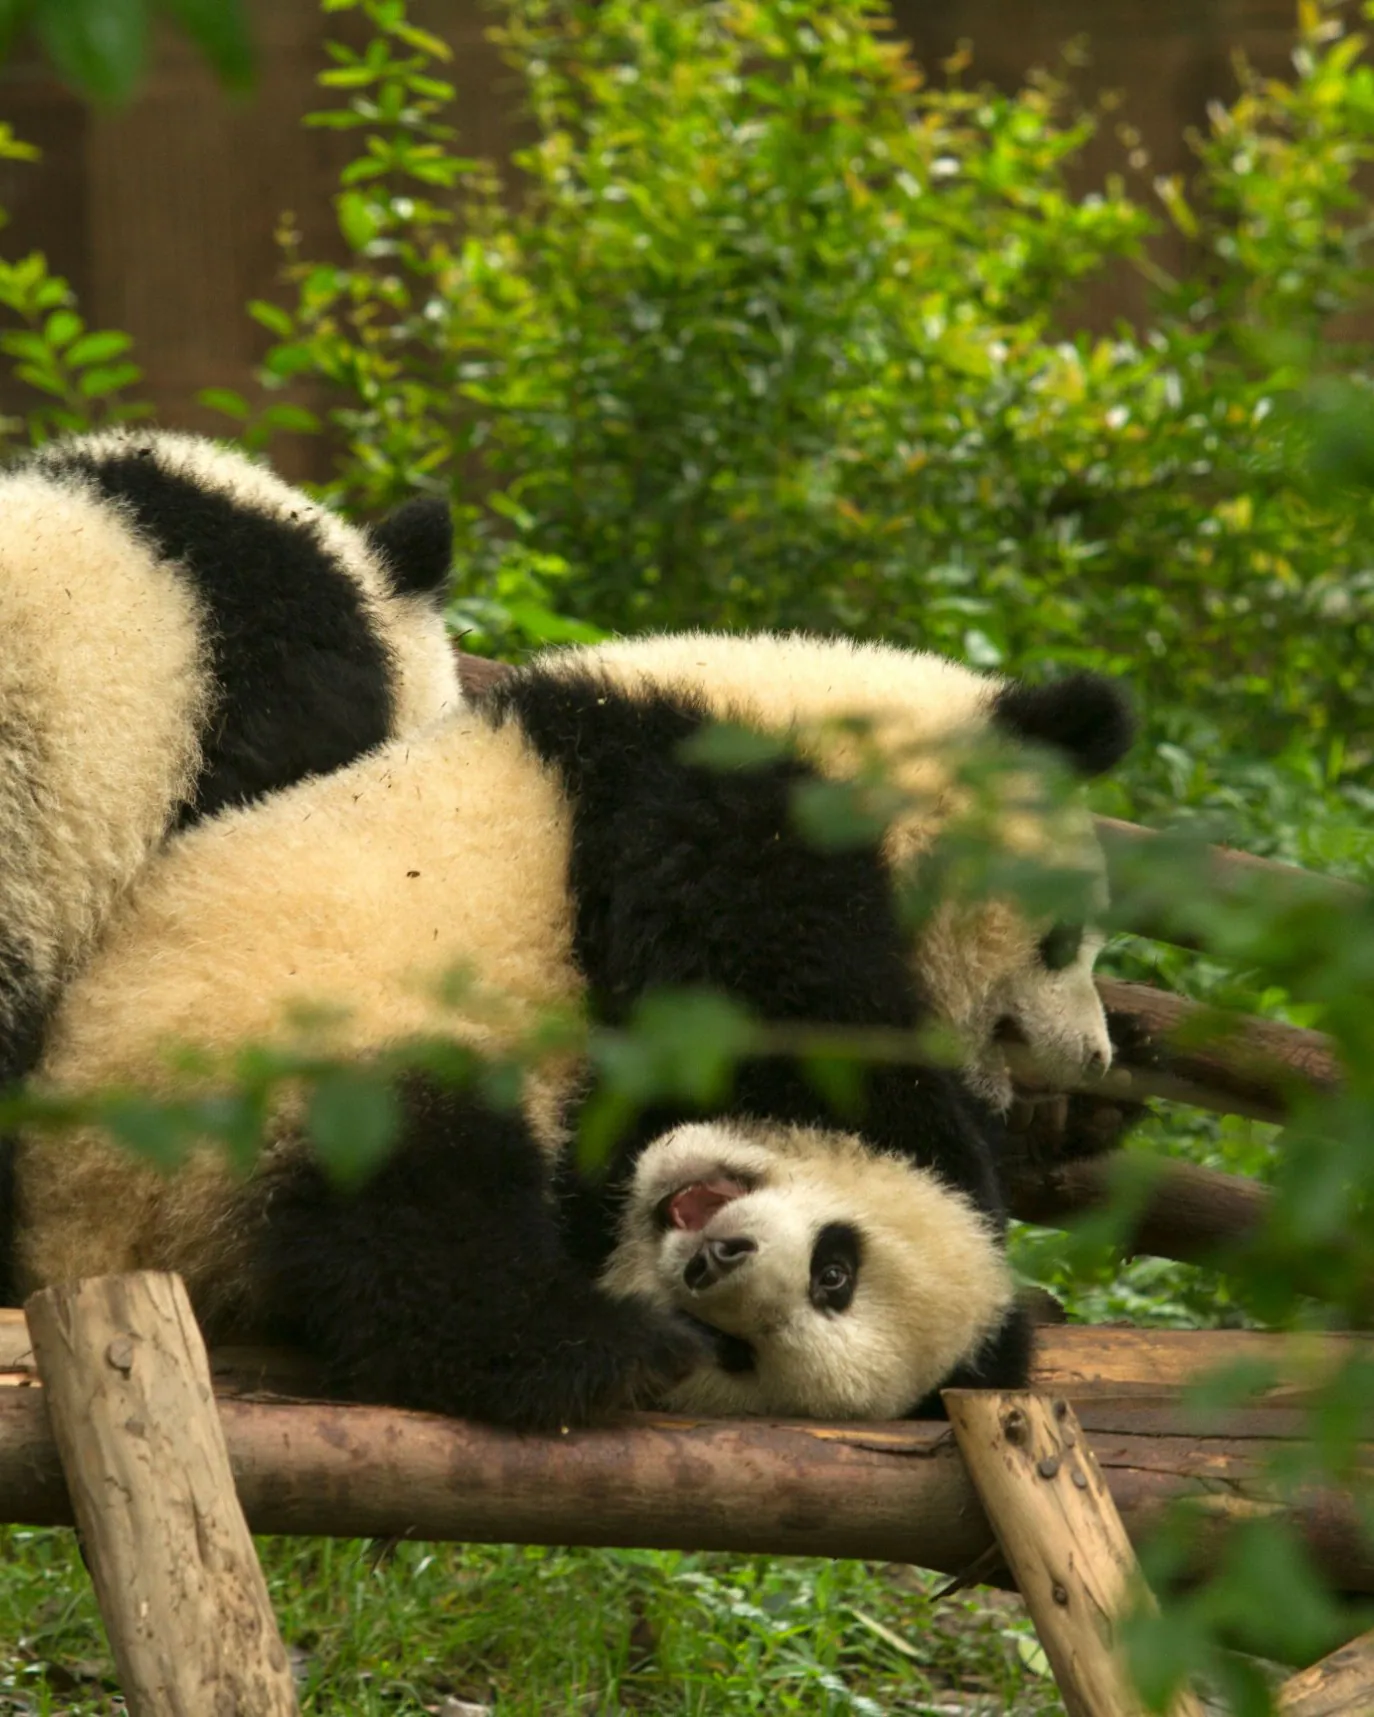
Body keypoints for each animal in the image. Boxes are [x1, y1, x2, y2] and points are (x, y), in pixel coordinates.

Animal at [7, 632, 1132, 1429]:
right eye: (1061, 938)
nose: (1095, 1055)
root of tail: (76, 1239)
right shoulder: (708, 808)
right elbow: (772, 1009)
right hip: (245, 1079)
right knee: (414, 1198)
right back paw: (586, 1349)